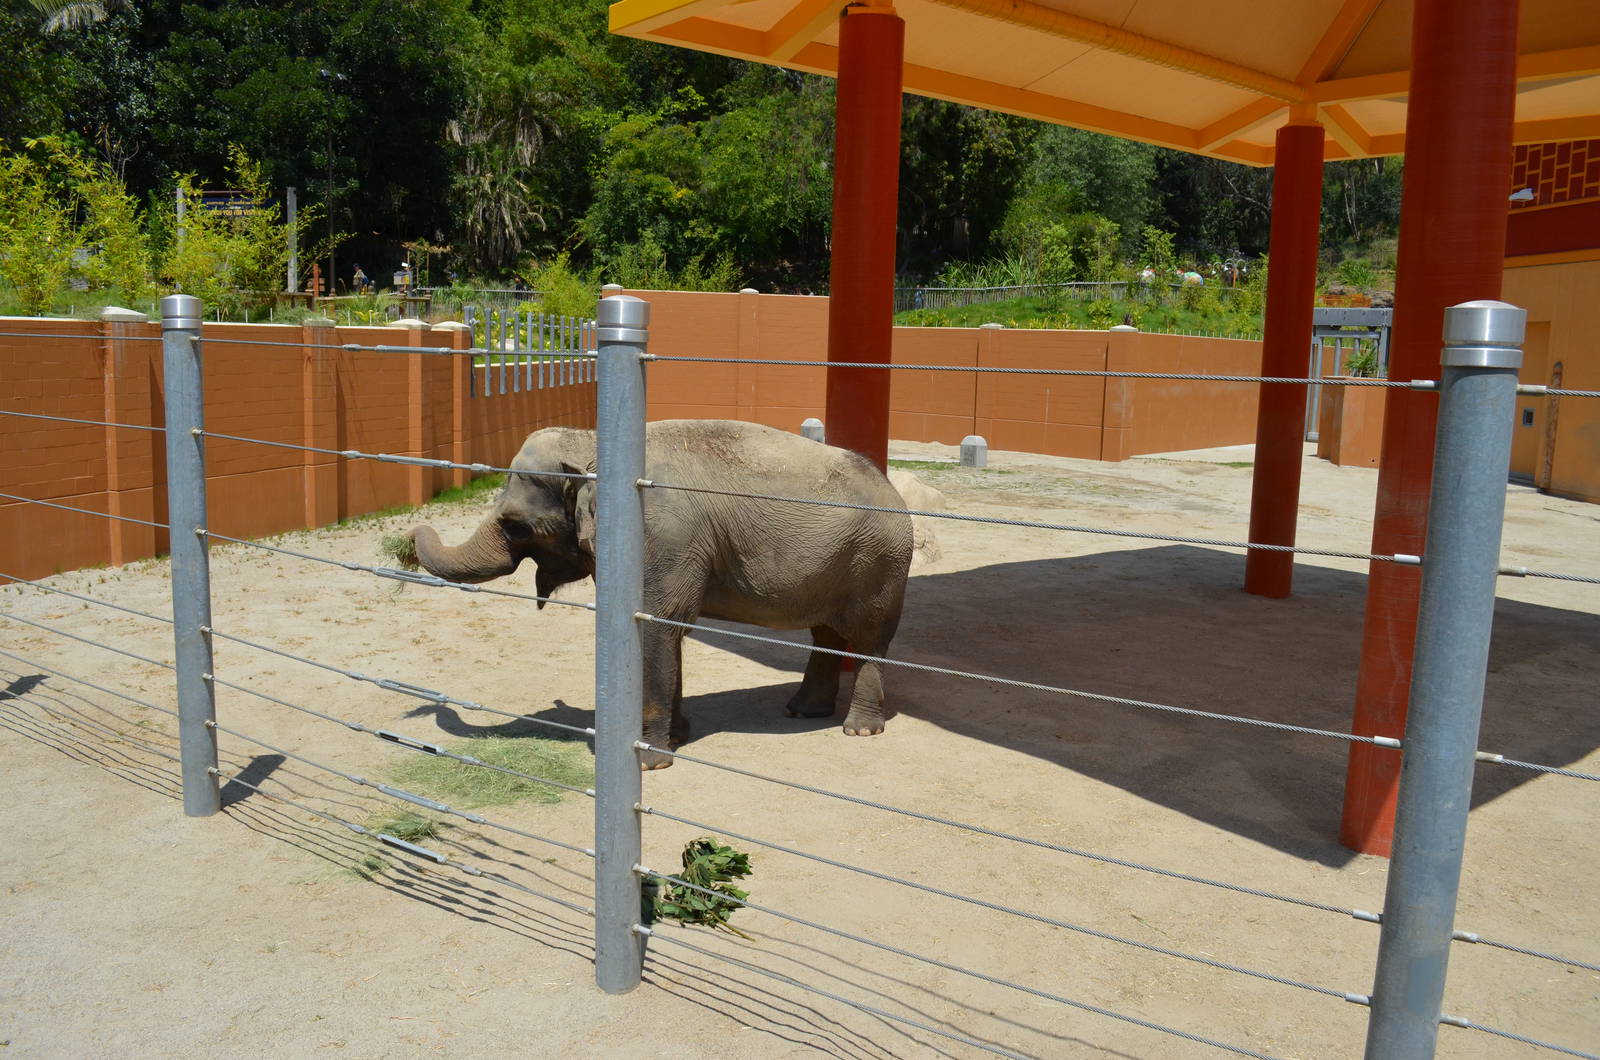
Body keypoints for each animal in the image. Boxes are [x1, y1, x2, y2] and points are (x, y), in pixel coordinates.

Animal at [405, 419, 913, 769]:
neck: (593, 442)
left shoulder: (659, 535)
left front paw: (650, 761)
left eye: (516, 525)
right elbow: (669, 632)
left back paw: (859, 730)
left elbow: (658, 624)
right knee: (825, 634)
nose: (411, 532)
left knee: (870, 639)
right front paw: (679, 736)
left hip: (879, 565)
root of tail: (892, 488)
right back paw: (803, 712)